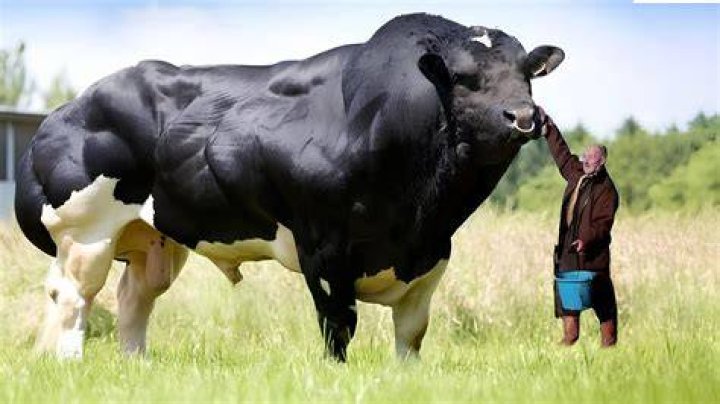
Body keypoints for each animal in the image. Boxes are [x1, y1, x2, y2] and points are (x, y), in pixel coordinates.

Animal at [14, 13, 564, 362]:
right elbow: (338, 324)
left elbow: (411, 334)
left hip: (157, 237)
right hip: (86, 233)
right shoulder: (323, 247)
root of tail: (67, 109)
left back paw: (137, 363)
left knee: (134, 297)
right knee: (73, 295)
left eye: (527, 74)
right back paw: (71, 360)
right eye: (465, 77)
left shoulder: (432, 257)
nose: (524, 117)